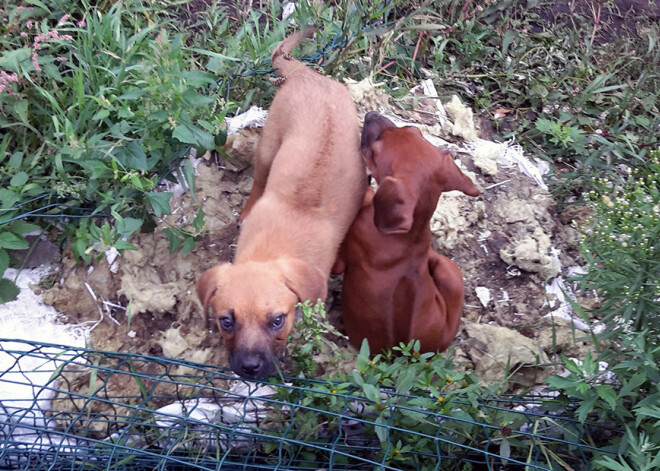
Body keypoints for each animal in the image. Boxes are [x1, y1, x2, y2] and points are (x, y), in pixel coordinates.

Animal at [196, 30, 372, 380]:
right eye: (226, 321)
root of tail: (308, 75)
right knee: (259, 181)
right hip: (269, 146)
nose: (250, 369)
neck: (273, 248)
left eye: (278, 320)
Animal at [336, 111, 480, 354]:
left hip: (449, 270)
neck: (405, 236)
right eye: (412, 129)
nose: (371, 114)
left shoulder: (342, 258)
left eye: (375, 151)